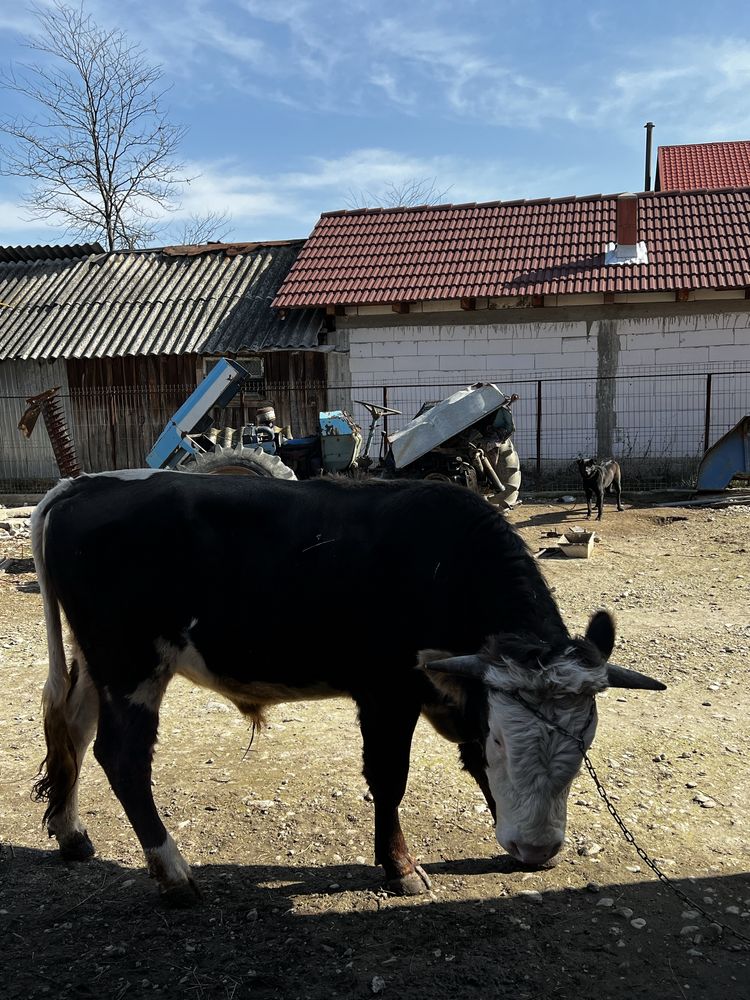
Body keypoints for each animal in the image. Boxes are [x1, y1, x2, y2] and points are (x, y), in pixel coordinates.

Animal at [30, 472, 664, 904]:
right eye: (505, 740)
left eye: (584, 744)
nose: (537, 848)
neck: (441, 566)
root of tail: (87, 484)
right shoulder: (387, 694)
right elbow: (389, 779)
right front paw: (401, 867)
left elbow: (470, 764)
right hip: (132, 666)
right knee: (123, 758)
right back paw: (174, 874)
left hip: (96, 663)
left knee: (73, 728)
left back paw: (71, 833)